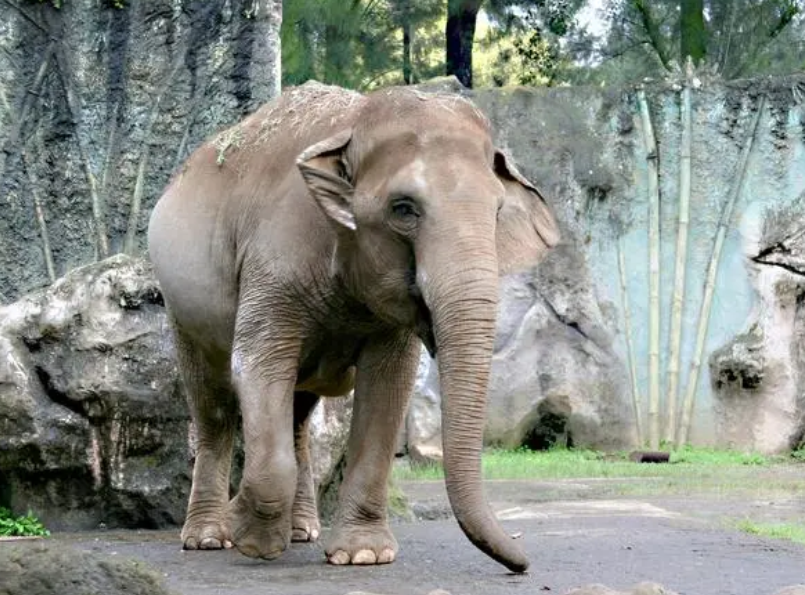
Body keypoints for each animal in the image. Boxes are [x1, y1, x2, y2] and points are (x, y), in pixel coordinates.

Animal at [147, 80, 560, 573]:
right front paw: (252, 539)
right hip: (181, 308)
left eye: (497, 212)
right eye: (404, 209)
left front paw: (363, 555)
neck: (356, 123)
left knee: (297, 415)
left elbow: (387, 387)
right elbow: (258, 364)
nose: (523, 564)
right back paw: (208, 537)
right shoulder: (273, 260)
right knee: (212, 405)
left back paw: (302, 531)